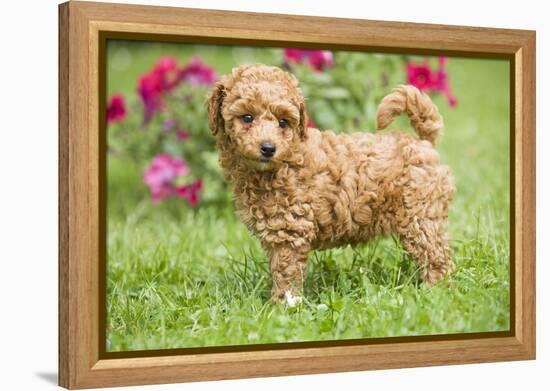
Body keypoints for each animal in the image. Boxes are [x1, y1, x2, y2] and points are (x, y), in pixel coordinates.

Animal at [207, 63, 458, 306]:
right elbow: (278, 268)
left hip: (420, 216)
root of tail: (422, 142)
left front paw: (283, 306)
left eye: (283, 122)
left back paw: (434, 293)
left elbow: (286, 272)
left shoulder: (290, 230)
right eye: (247, 118)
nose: (268, 148)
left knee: (437, 258)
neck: (285, 160)